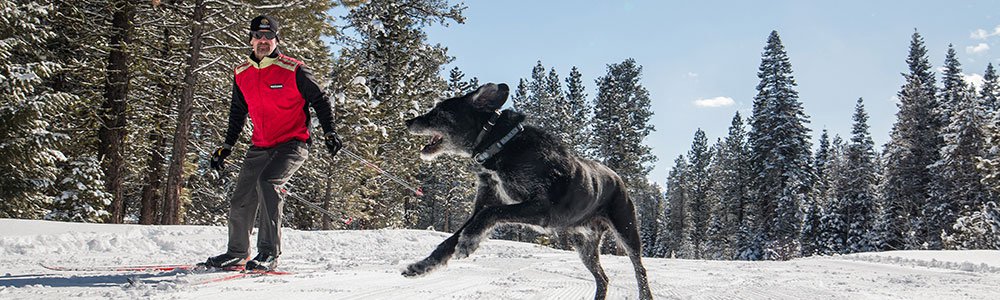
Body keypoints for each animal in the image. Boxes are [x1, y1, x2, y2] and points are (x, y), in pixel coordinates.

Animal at [402, 82, 652, 300]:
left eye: (439, 111)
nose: (408, 120)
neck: (501, 144)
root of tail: (618, 178)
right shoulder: (484, 205)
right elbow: (450, 240)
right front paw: (422, 266)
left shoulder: (542, 209)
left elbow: (491, 214)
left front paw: (468, 242)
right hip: (584, 245)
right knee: (603, 278)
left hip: (627, 232)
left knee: (639, 269)